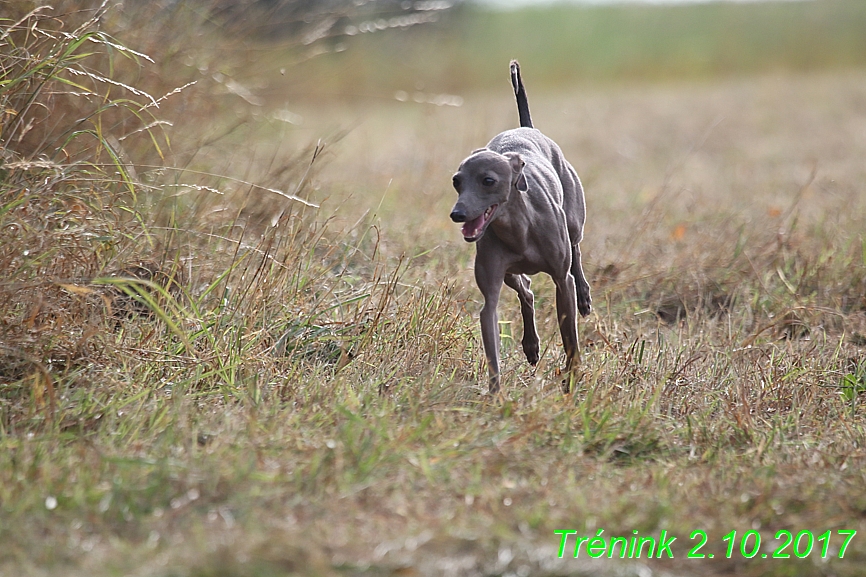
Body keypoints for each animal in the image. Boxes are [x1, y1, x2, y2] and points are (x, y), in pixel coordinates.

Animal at [448, 60, 592, 392]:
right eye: (456, 181)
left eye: (488, 181)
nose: (457, 214)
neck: (518, 228)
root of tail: (527, 128)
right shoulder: (490, 295)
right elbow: (491, 334)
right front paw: (495, 394)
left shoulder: (560, 281)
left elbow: (570, 339)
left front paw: (572, 378)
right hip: (510, 273)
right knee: (525, 290)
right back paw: (531, 345)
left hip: (574, 220)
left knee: (576, 249)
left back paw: (584, 295)